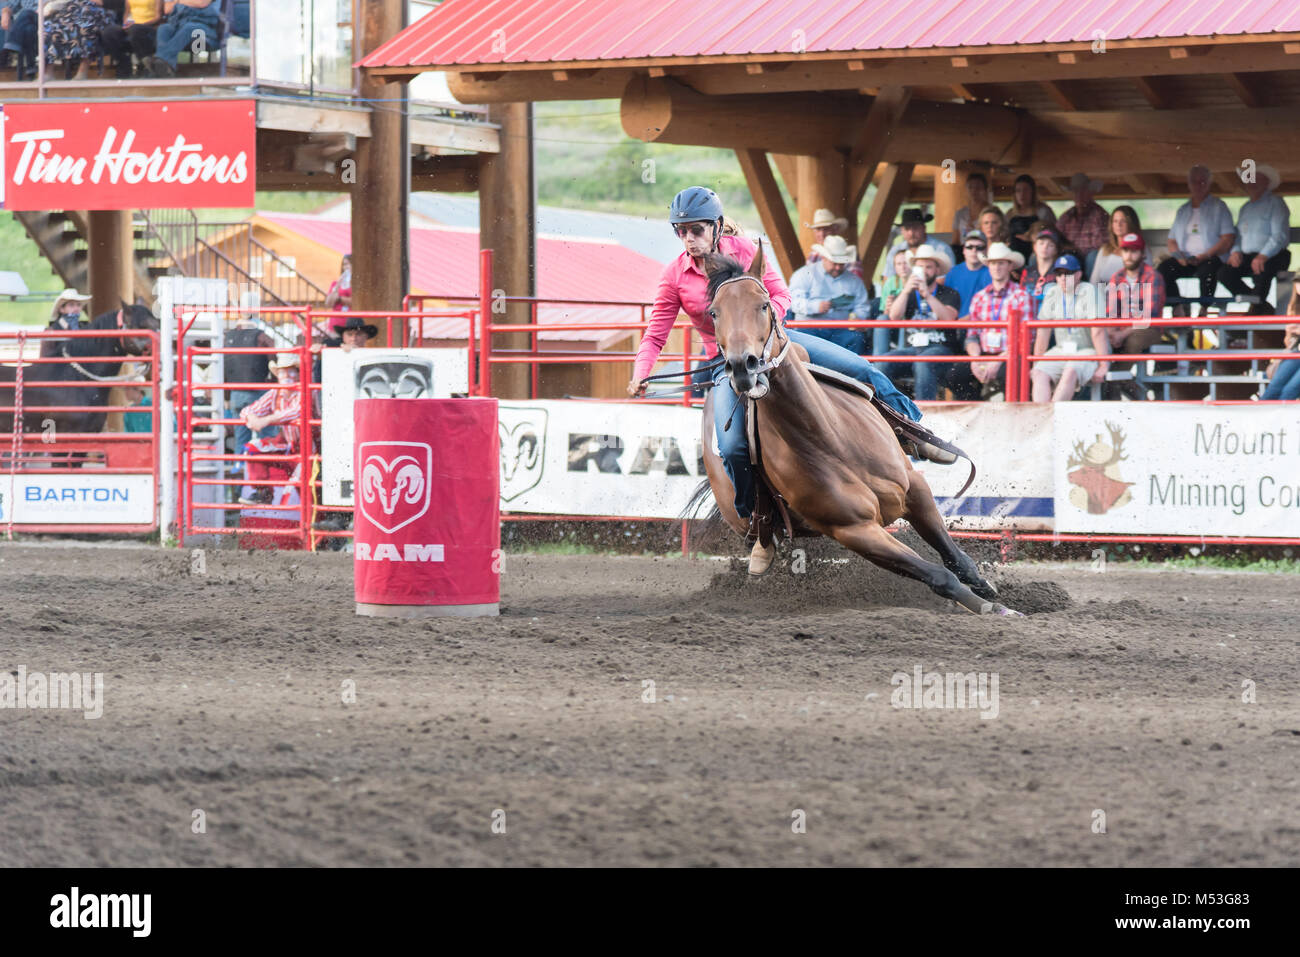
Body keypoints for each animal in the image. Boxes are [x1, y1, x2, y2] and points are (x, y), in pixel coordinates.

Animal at [696, 247, 1019, 616]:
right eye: (714, 312)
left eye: (763, 304)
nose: (742, 366)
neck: (830, 437)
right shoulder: (855, 531)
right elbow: (939, 575)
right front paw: (992, 608)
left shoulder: (915, 489)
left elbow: (954, 556)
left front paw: (988, 590)